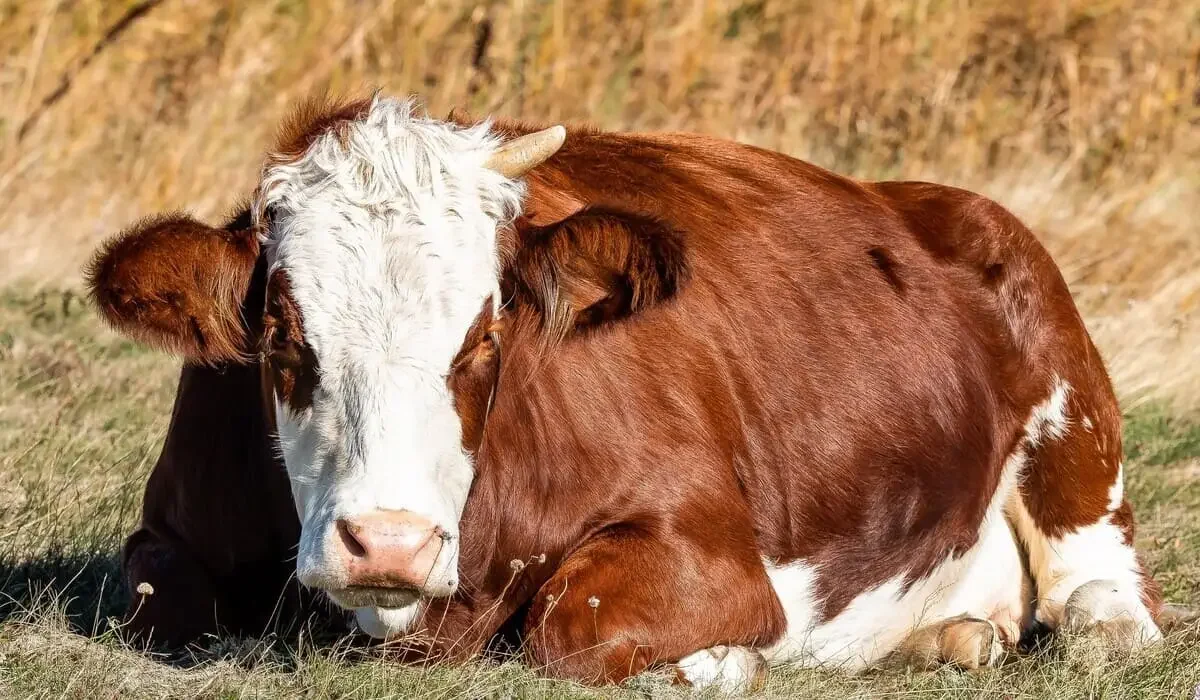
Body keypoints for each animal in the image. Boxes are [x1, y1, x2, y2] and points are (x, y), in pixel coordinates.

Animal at [84, 93, 1161, 691]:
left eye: (488, 335)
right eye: (282, 331)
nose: (387, 543)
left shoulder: (713, 551)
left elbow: (573, 622)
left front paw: (717, 663)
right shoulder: (172, 527)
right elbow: (157, 601)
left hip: (1073, 420)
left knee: (1104, 600)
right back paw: (953, 638)